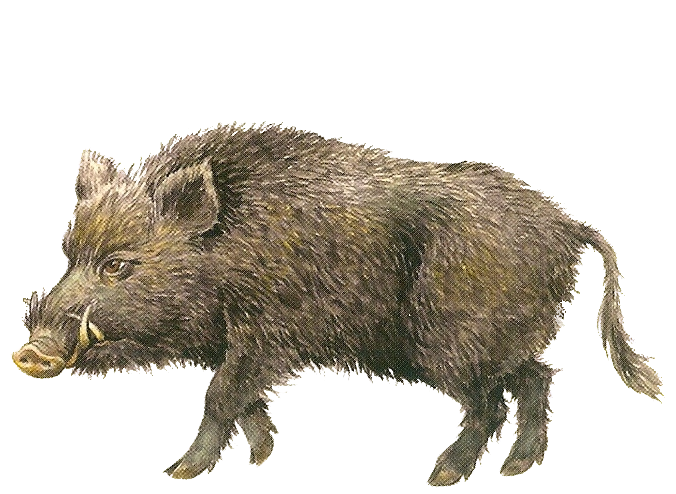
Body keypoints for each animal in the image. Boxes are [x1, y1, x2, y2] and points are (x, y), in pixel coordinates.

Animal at [12, 123, 661, 486]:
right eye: (69, 255)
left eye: (118, 265)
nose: (27, 354)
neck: (226, 254)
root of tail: (568, 224)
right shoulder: (234, 344)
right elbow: (242, 401)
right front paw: (262, 460)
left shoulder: (268, 334)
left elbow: (220, 395)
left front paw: (177, 472)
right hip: (493, 344)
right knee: (536, 377)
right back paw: (516, 469)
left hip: (452, 344)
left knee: (491, 402)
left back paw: (441, 476)